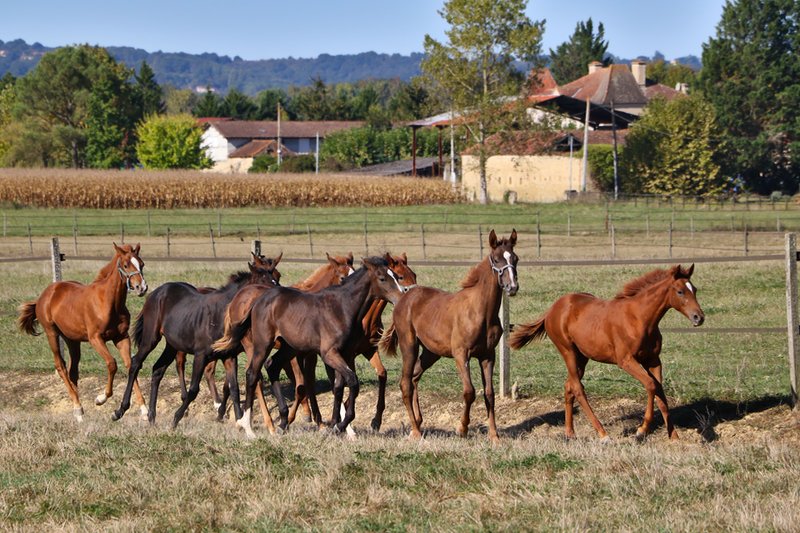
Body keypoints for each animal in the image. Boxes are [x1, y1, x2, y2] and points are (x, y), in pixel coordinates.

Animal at [17, 243, 148, 422]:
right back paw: (78, 408)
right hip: (52, 333)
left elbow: (130, 365)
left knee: (73, 371)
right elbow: (112, 364)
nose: (141, 288)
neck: (109, 302)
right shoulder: (95, 339)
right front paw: (101, 398)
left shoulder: (121, 337)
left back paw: (78, 413)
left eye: (141, 264)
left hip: (72, 340)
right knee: (61, 366)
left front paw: (144, 409)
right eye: (126, 265)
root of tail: (45, 294)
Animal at [110, 253, 282, 427]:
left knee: (158, 369)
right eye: (262, 283)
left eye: (276, 278)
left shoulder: (229, 356)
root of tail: (156, 293)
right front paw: (176, 418)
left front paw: (239, 421)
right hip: (150, 338)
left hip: (172, 345)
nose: (276, 301)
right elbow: (194, 389)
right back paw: (121, 411)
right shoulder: (201, 355)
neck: (221, 315)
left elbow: (233, 388)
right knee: (135, 363)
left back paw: (152, 416)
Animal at [213, 256, 406, 438]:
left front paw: (334, 425)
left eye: (397, 276)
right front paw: (342, 424)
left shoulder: (343, 354)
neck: (342, 308)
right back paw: (248, 427)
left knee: (272, 366)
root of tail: (257, 301)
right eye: (382, 278)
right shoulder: (329, 354)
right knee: (253, 374)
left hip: (289, 348)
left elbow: (338, 386)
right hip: (262, 344)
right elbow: (352, 381)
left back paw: (283, 422)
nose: (400, 297)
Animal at [379, 230, 518, 443]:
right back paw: (415, 431)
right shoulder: (461, 354)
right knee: (405, 383)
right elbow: (469, 392)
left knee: (415, 376)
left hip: (431, 352)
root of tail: (403, 298)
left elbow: (490, 394)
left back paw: (418, 422)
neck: (480, 311)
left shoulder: (488, 356)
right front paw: (462, 429)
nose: (512, 287)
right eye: (496, 259)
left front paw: (494, 436)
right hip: (409, 345)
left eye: (515, 259)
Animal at [508, 264, 704, 441]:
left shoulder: (653, 360)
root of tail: (552, 309)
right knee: (578, 388)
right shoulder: (626, 361)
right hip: (568, 351)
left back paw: (570, 433)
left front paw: (674, 436)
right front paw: (641, 430)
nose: (699, 317)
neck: (639, 319)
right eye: (680, 291)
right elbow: (651, 385)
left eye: (694, 289)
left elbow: (660, 393)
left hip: (582, 357)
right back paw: (602, 434)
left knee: (568, 386)